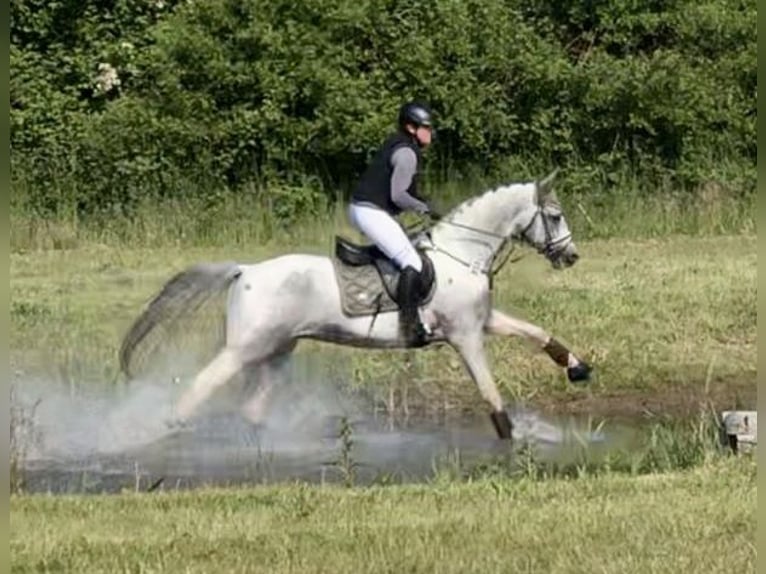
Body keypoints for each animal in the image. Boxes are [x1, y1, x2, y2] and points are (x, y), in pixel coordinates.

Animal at [120, 170, 596, 440]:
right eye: (555, 216)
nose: (571, 256)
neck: (462, 252)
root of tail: (244, 270)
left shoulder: (482, 322)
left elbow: (536, 332)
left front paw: (577, 367)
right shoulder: (465, 336)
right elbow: (489, 392)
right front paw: (510, 438)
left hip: (277, 350)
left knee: (252, 406)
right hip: (244, 349)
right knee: (199, 388)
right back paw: (166, 431)